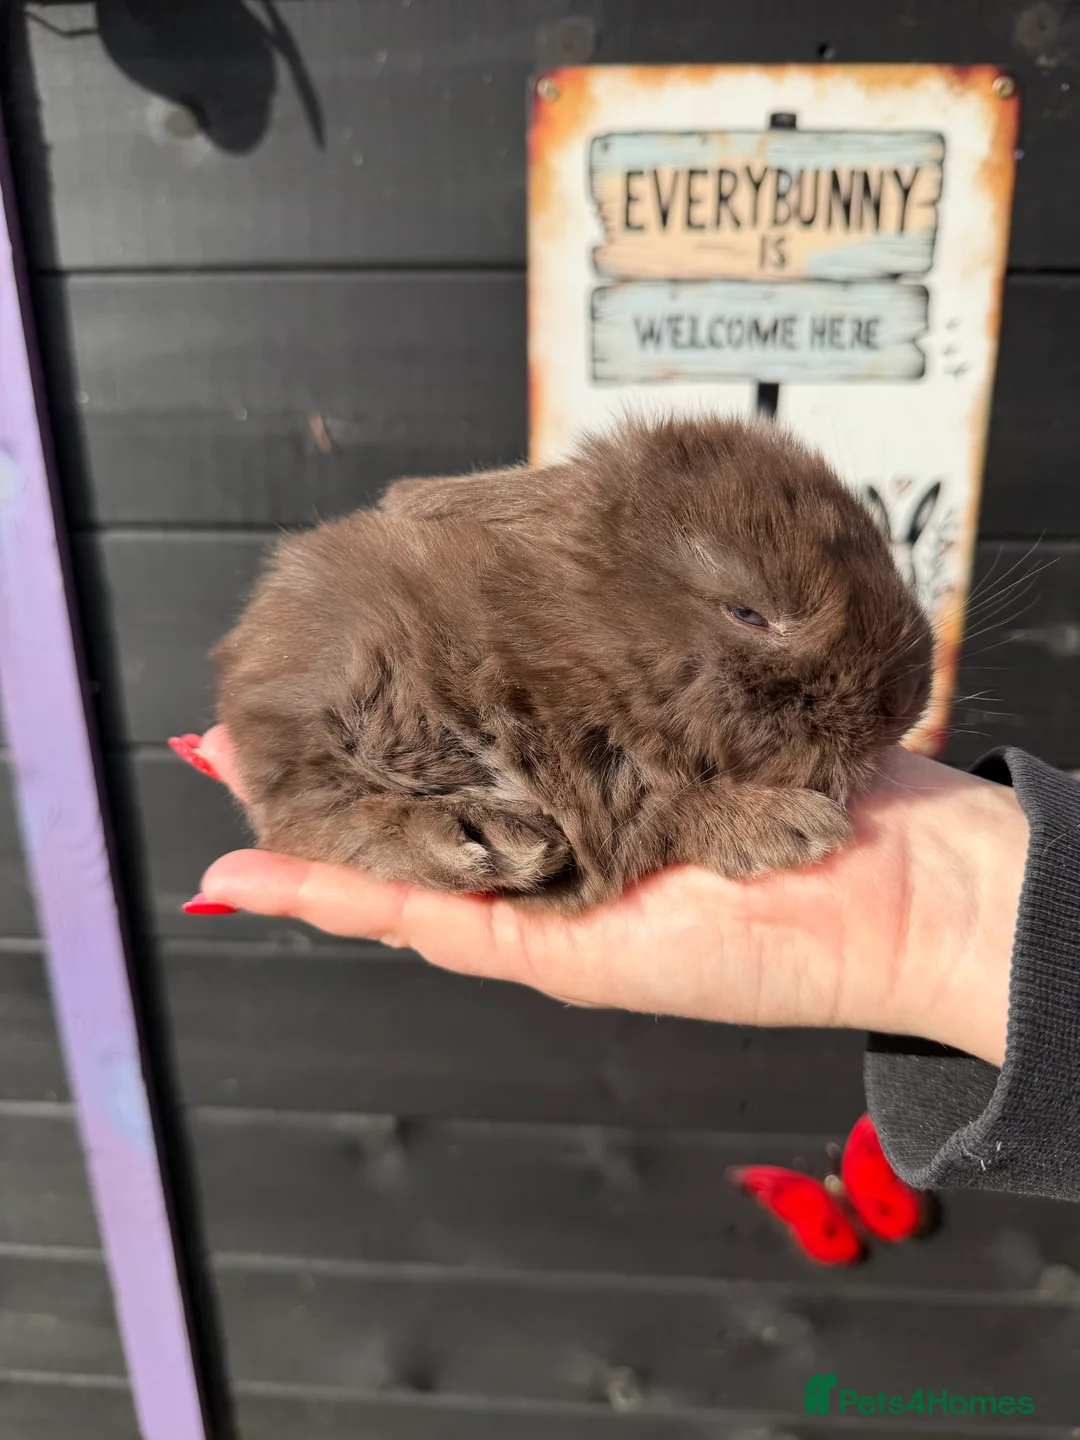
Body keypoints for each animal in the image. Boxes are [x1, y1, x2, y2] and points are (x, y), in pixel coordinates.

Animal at [212, 415, 933, 915]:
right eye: (748, 613)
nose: (902, 706)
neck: (594, 641)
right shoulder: (599, 788)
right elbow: (675, 811)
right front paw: (795, 826)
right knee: (317, 821)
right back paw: (491, 846)